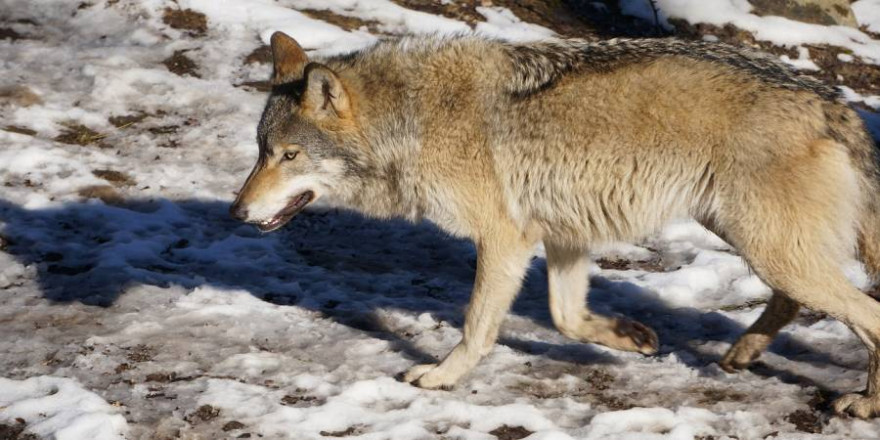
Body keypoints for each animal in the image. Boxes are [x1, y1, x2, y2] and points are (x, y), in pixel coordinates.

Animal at [229, 30, 880, 416]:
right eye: (261, 151)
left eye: (290, 156)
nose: (236, 212)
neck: (414, 120)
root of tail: (834, 103)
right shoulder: (564, 235)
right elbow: (568, 318)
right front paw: (628, 338)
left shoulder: (506, 239)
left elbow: (476, 327)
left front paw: (441, 377)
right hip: (753, 239)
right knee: (800, 302)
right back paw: (743, 353)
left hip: (765, 246)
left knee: (864, 312)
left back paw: (865, 404)